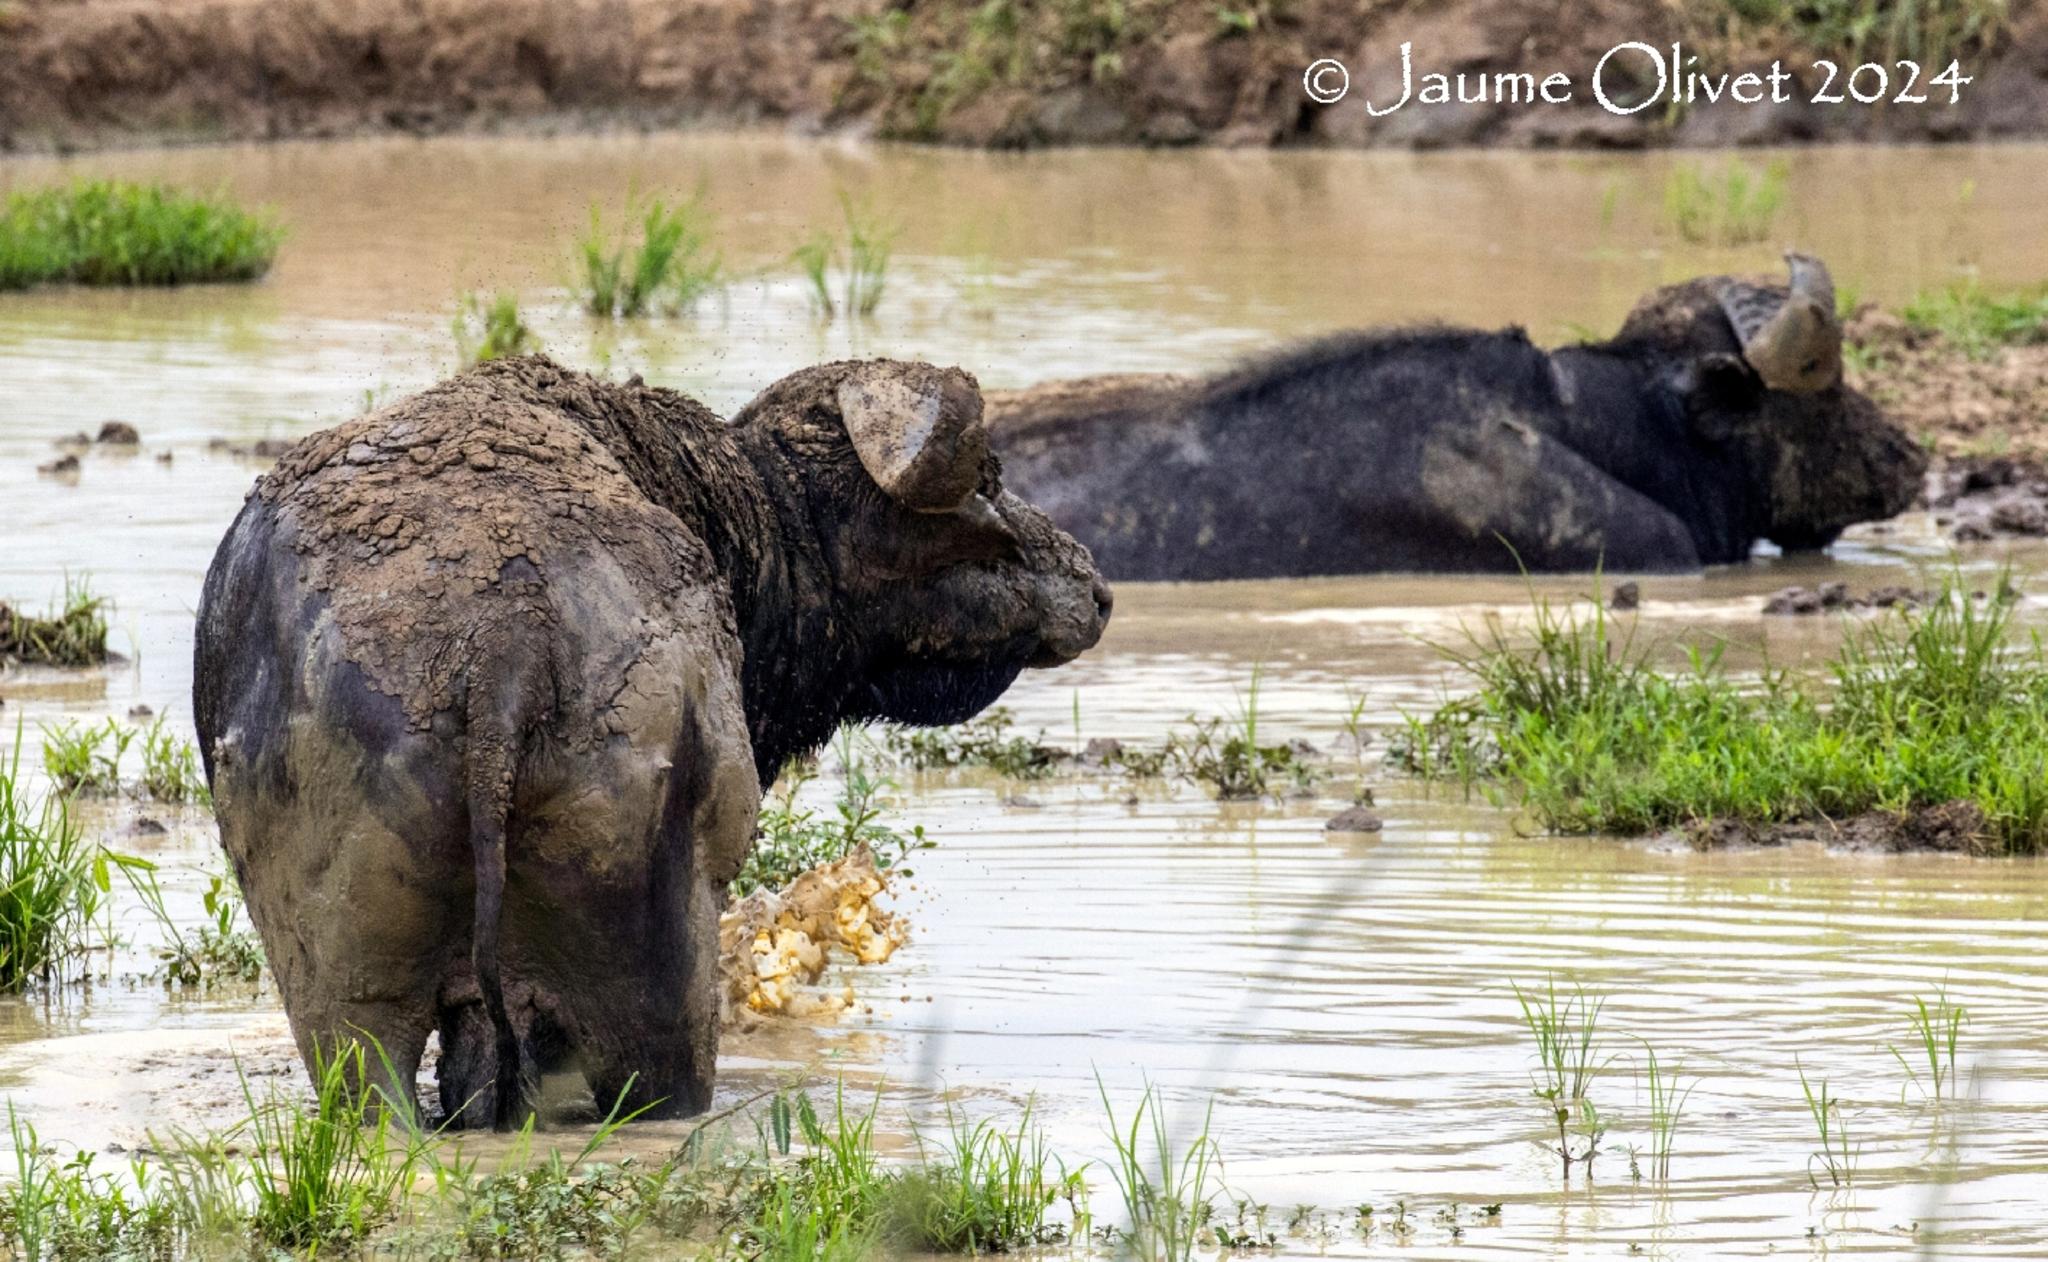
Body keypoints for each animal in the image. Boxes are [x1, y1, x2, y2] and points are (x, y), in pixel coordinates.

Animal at [199, 352, 1114, 1122]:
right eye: (988, 484)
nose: (1099, 592)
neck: (753, 530)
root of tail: (503, 636)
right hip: (660, 994)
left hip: (349, 1009)